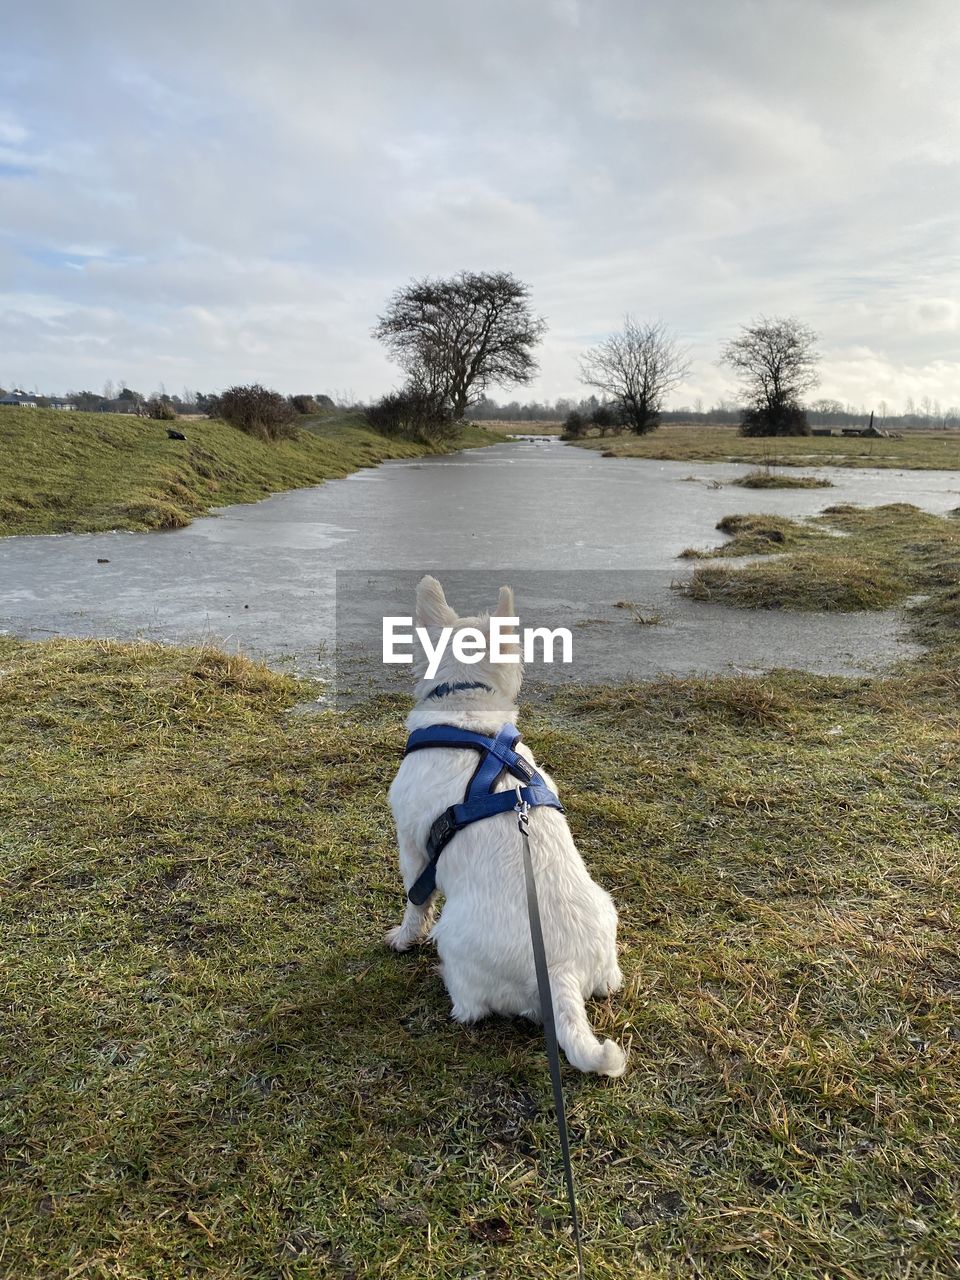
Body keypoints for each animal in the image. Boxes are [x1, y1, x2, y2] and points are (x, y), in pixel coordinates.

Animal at [386, 576, 627, 1075]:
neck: (466, 712)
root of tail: (560, 969)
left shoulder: (413, 848)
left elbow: (416, 901)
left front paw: (403, 938)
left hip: (457, 945)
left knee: (471, 1006)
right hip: (606, 928)